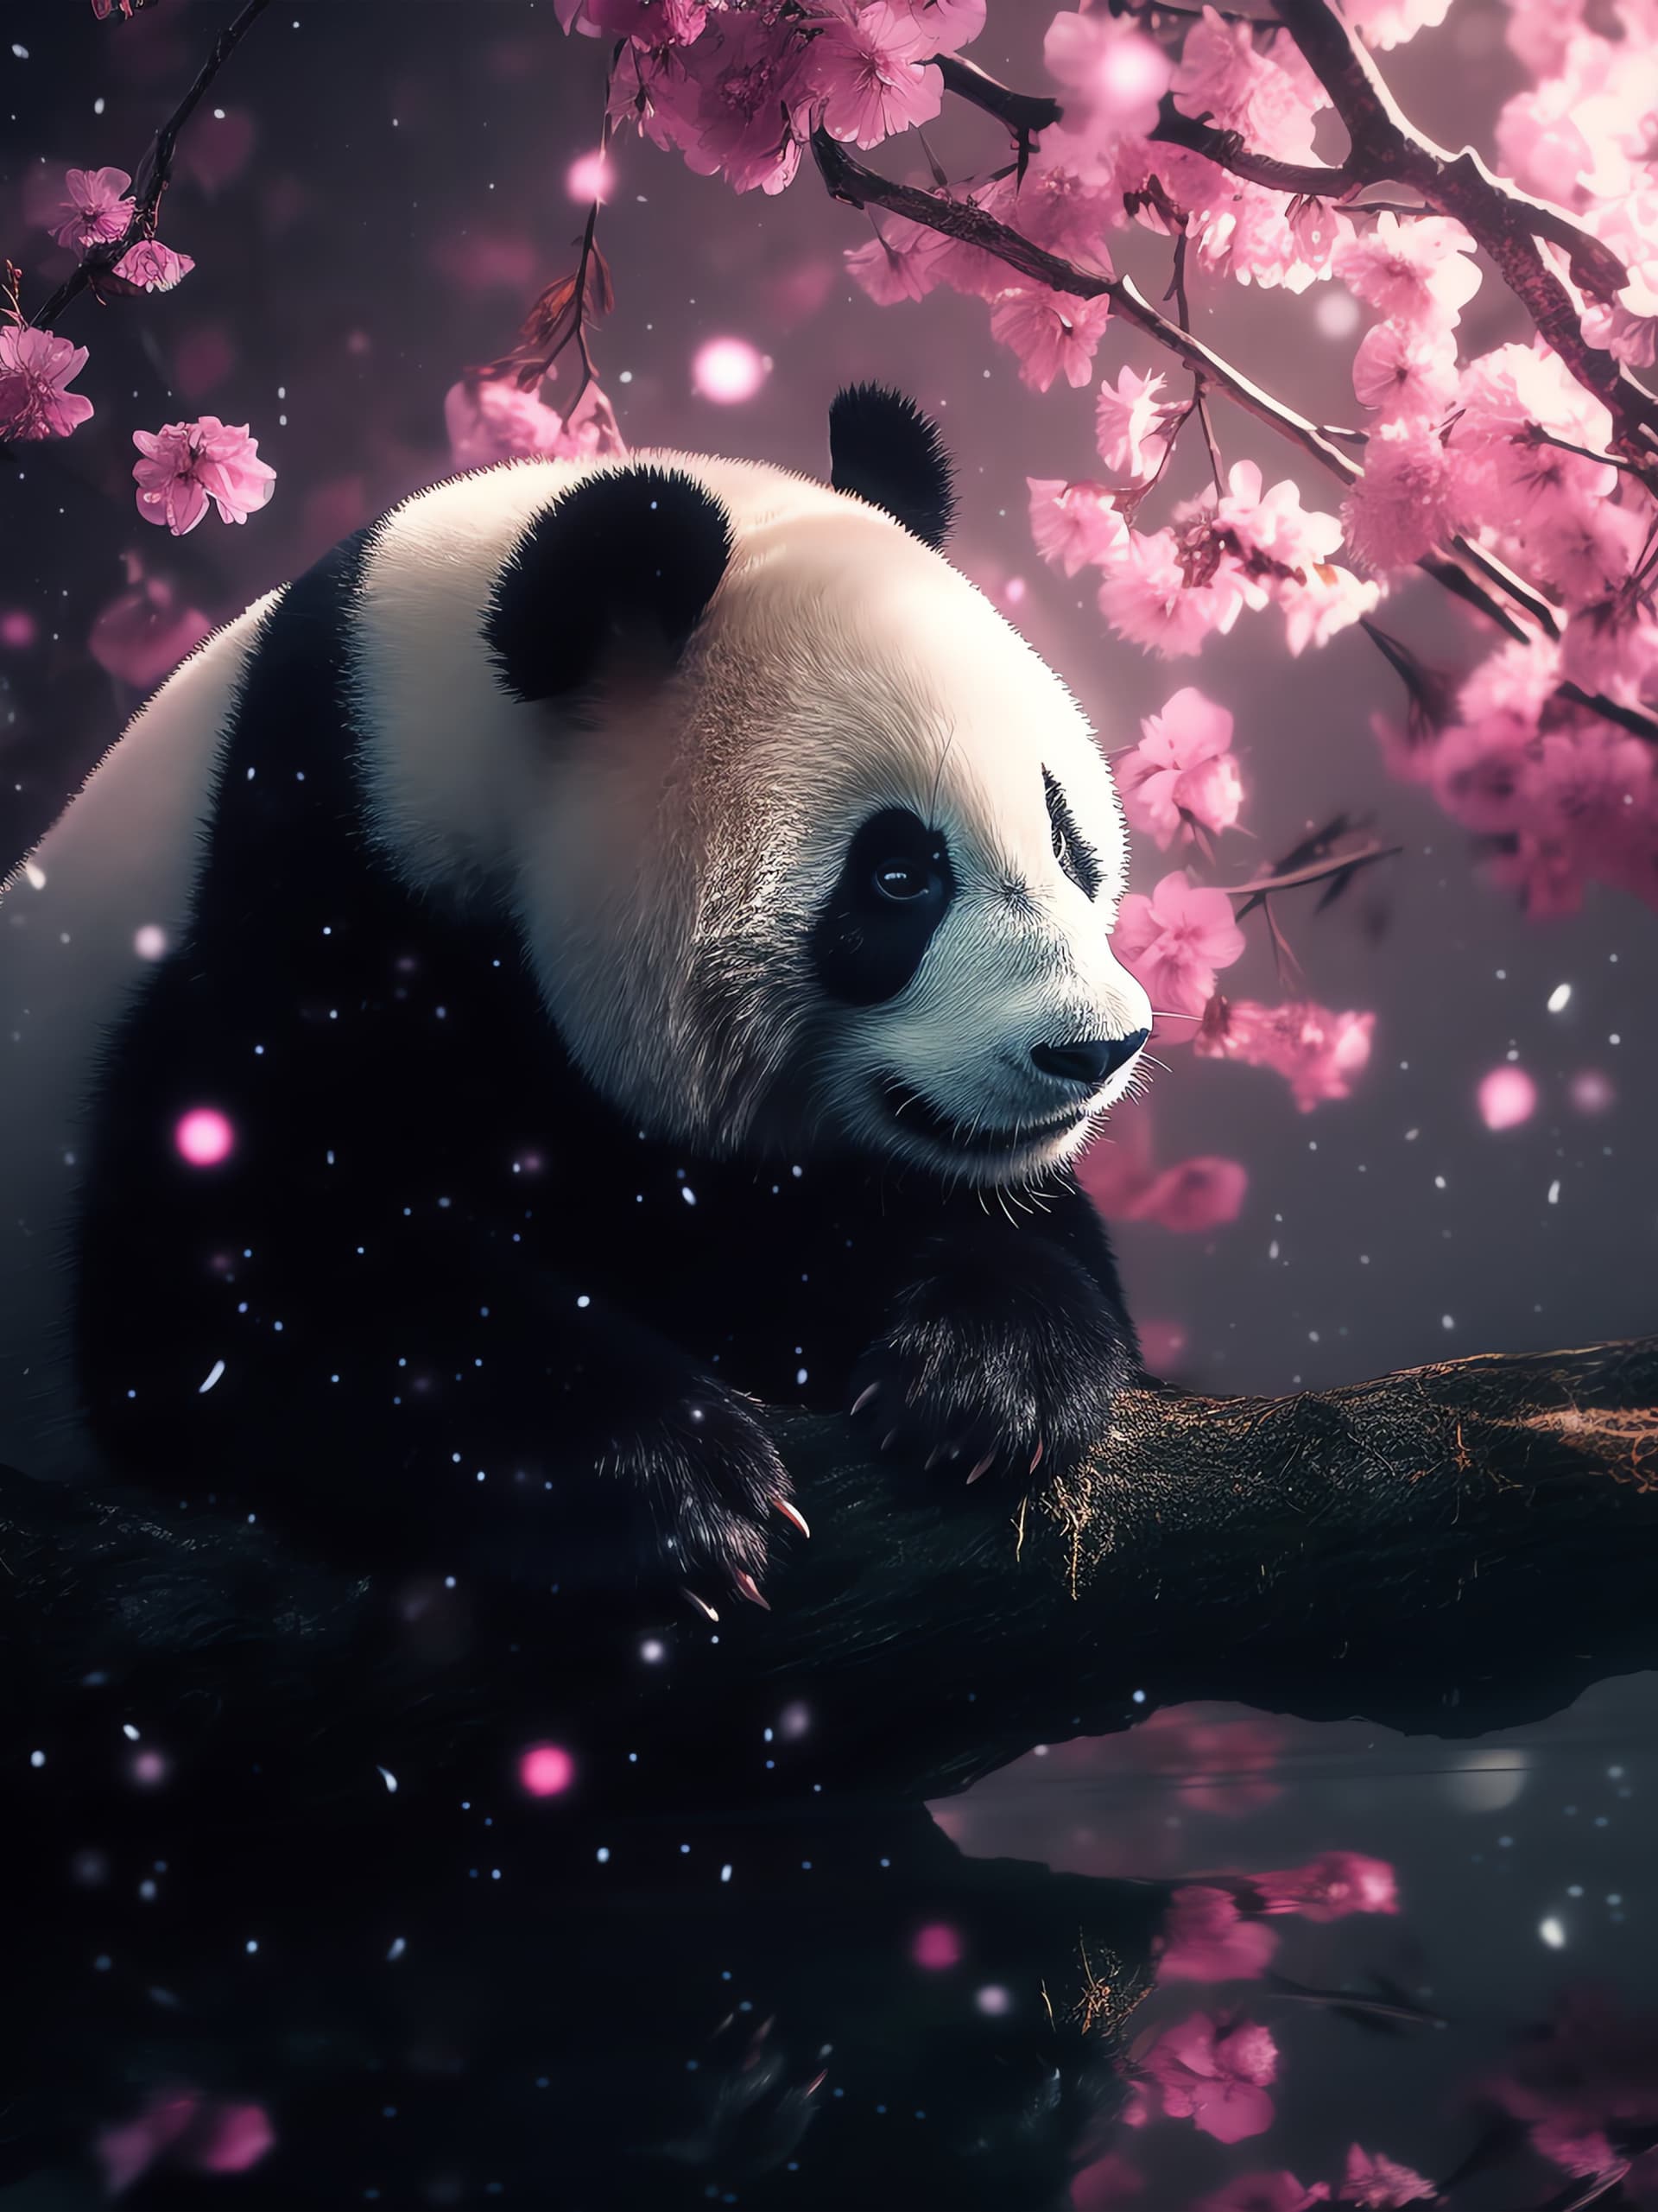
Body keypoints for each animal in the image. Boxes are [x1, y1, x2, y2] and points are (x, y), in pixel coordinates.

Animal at [0, 386, 1152, 1611]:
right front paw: (672, 1485)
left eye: (1065, 832)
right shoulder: (274, 936)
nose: (1097, 1047)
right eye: (899, 877)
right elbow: (239, 1298)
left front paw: (986, 1376)